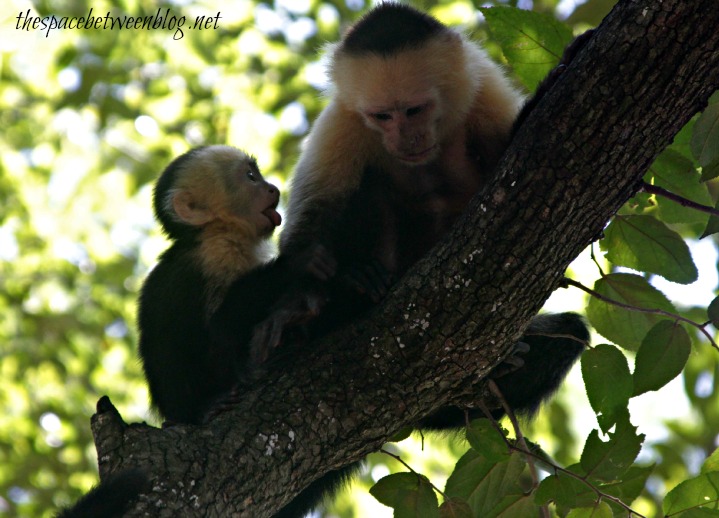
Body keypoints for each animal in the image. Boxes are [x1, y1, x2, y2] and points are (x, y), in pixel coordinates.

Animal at [262, 4, 592, 518]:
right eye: (383, 115)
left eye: (415, 110)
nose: (406, 136)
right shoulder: (344, 124)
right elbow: (308, 229)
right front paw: (304, 303)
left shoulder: (480, 88)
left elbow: (514, 159)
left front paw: (564, 67)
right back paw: (353, 294)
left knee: (569, 334)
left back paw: (492, 372)